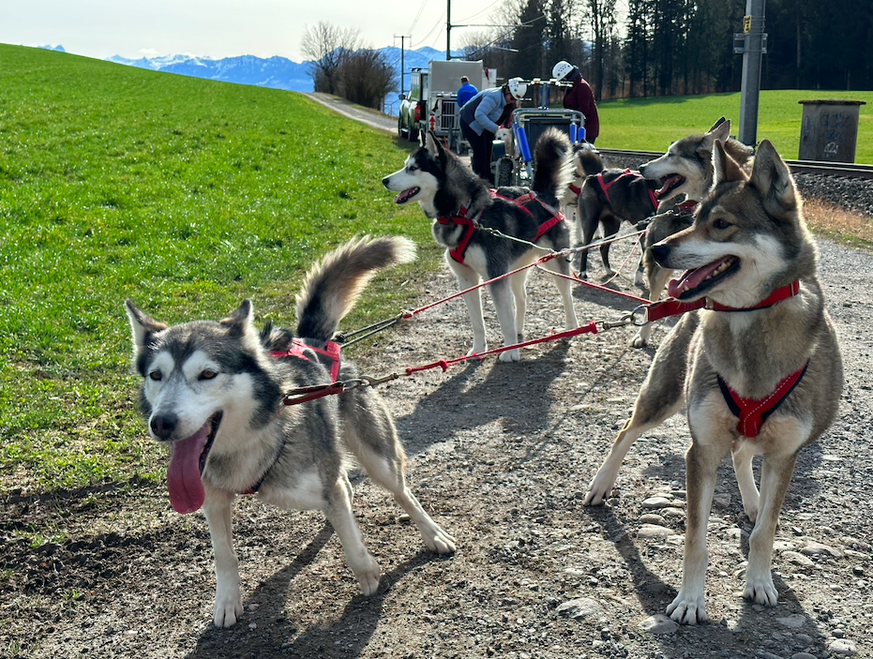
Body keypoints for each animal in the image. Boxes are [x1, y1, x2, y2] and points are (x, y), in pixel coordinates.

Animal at [129, 237, 460, 628]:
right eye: (156, 375)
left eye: (207, 374)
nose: (162, 423)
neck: (248, 443)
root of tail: (314, 341)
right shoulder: (212, 497)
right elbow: (224, 554)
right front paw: (227, 601)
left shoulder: (324, 482)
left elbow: (351, 534)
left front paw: (365, 571)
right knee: (348, 486)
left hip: (377, 455)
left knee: (402, 493)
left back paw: (433, 534)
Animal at [382, 130, 580, 364]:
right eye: (405, 165)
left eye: (413, 168)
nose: (384, 180)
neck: (463, 212)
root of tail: (542, 194)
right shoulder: (467, 279)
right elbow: (478, 323)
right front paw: (479, 349)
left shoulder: (496, 276)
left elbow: (504, 318)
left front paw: (510, 351)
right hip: (515, 268)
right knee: (522, 298)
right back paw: (519, 332)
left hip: (555, 262)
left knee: (567, 296)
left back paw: (571, 327)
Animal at [584, 139, 840, 624]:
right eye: (696, 217)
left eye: (721, 224)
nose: (657, 248)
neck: (748, 324)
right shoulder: (700, 449)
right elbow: (695, 538)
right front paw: (689, 600)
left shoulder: (785, 454)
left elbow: (766, 531)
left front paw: (759, 581)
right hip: (663, 396)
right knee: (626, 430)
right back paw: (601, 484)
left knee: (742, 455)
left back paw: (752, 500)